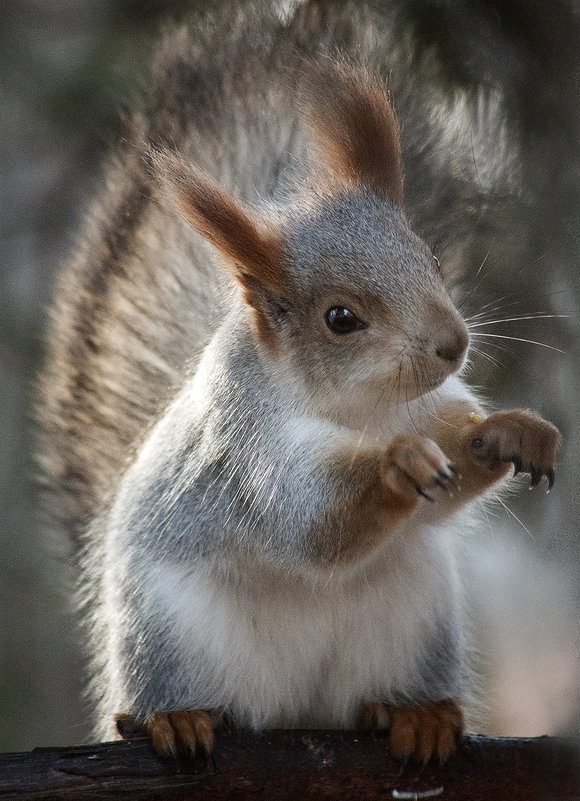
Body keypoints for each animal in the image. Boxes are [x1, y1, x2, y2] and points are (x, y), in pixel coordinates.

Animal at [35, 0, 556, 764]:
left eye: (430, 256)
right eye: (340, 318)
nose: (453, 344)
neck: (363, 408)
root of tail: (294, 710)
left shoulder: (432, 405)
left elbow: (455, 468)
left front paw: (511, 431)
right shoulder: (248, 448)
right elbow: (311, 522)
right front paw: (398, 464)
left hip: (413, 625)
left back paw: (416, 713)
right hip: (171, 641)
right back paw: (172, 719)